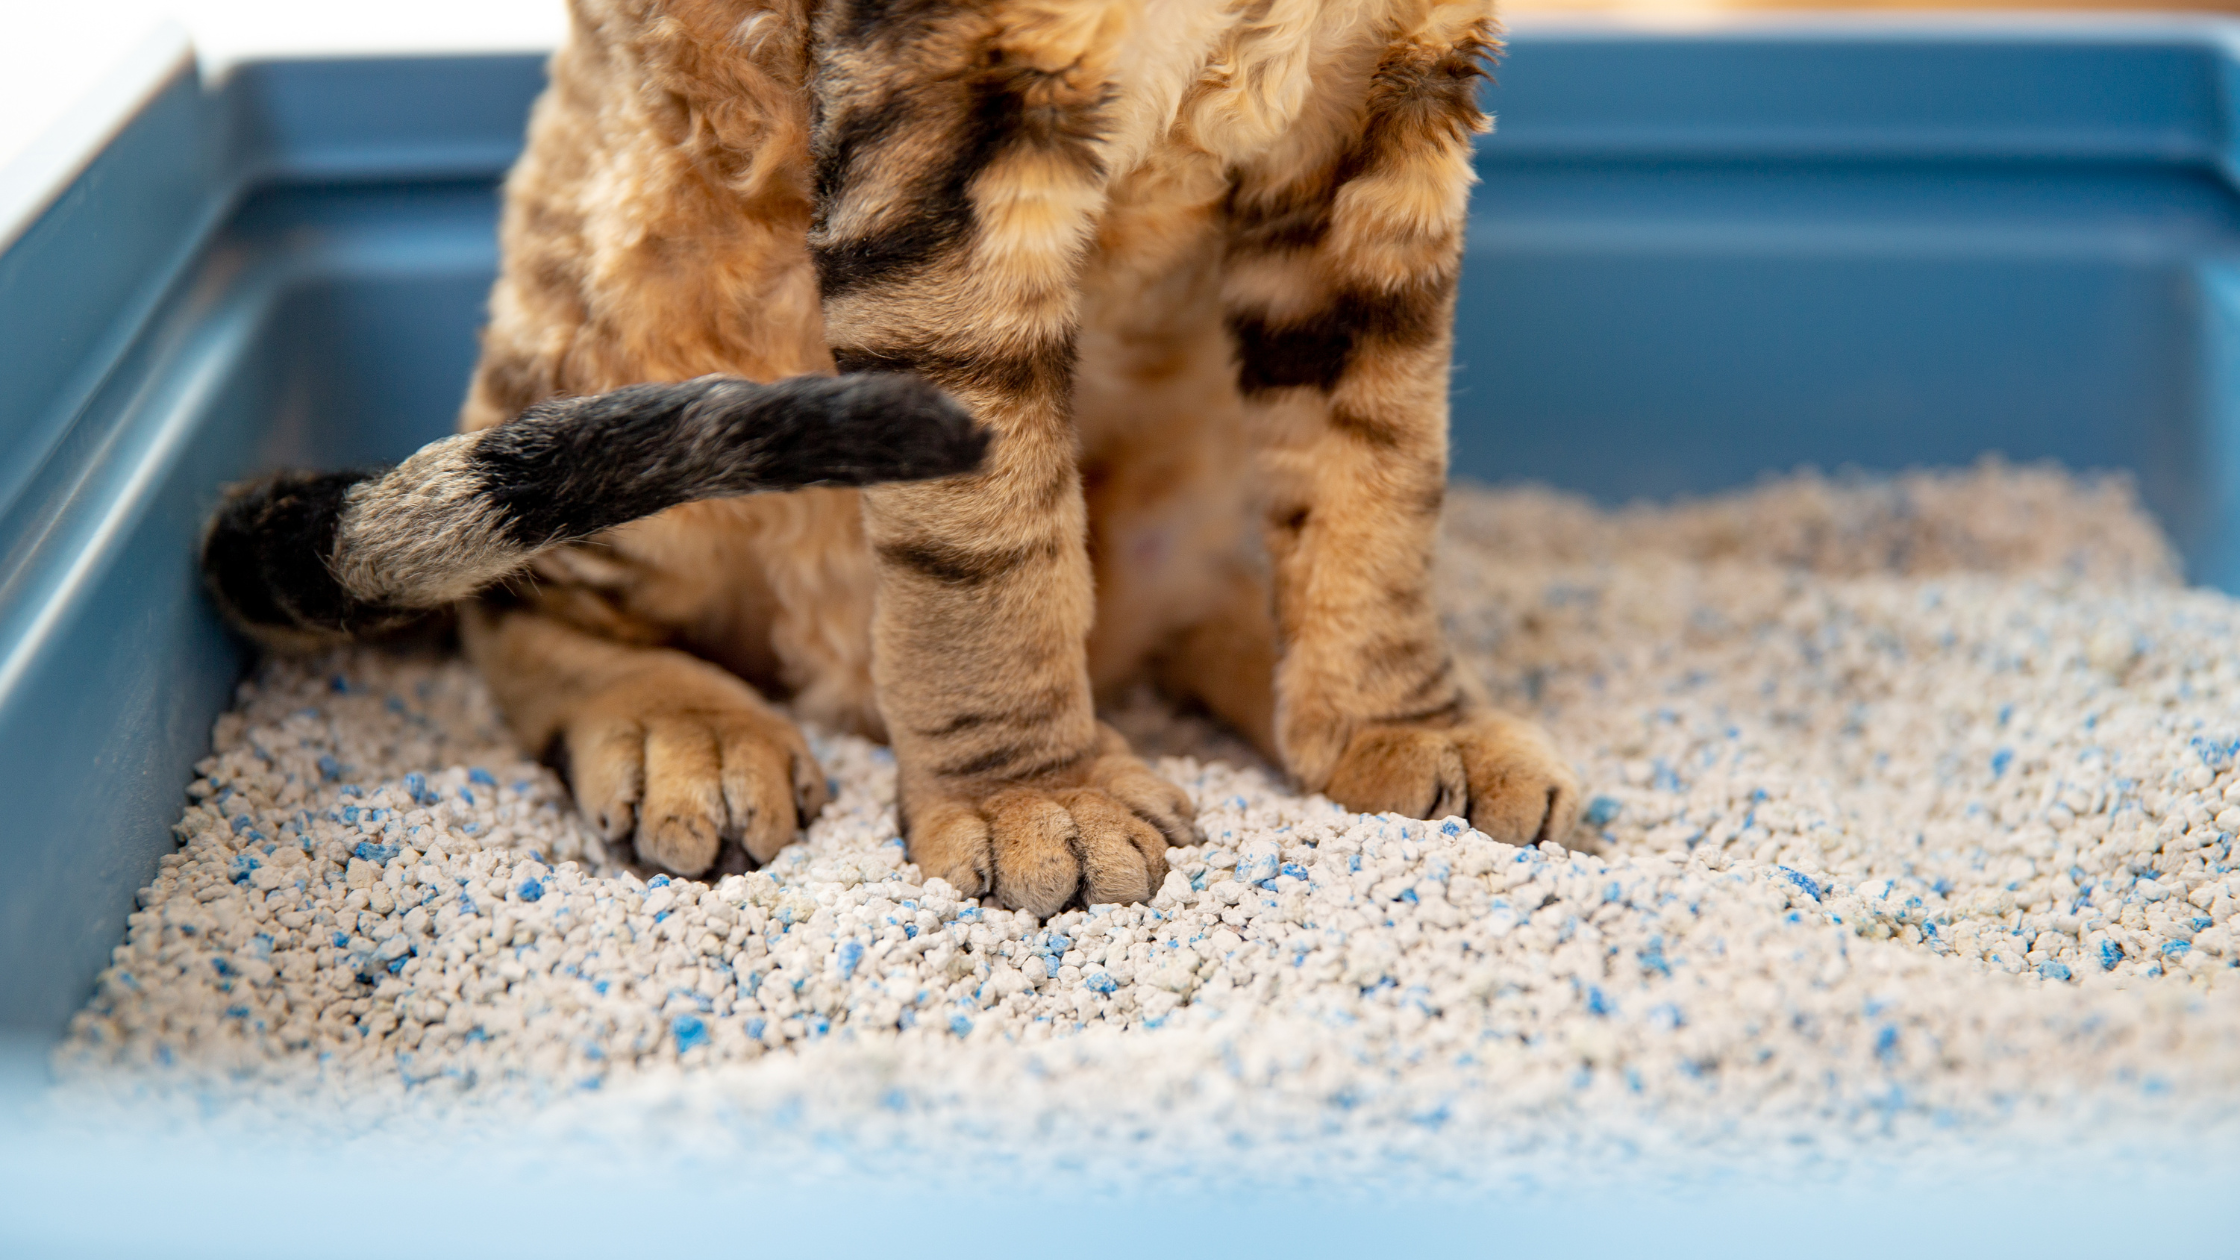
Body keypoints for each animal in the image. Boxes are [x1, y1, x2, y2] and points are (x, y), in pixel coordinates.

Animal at [206, 0, 1576, 905]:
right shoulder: (947, 113)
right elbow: (986, 543)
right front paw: (1033, 798)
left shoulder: (1381, 105)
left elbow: (1377, 469)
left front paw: (1400, 725)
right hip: (633, 314)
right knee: (525, 598)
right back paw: (680, 728)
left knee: (1183, 600)